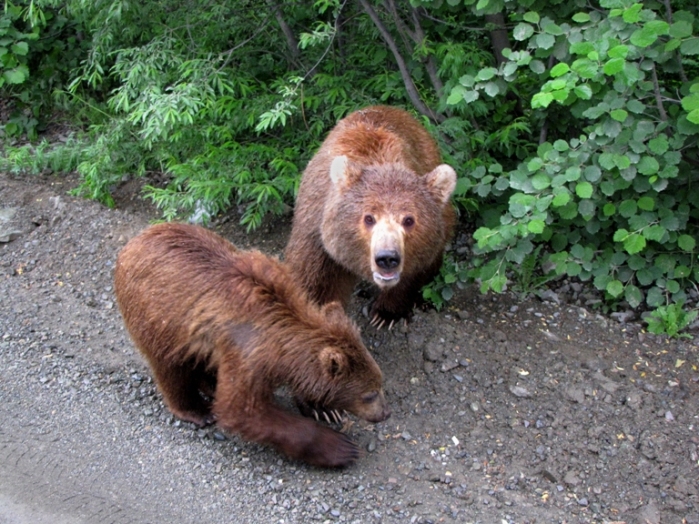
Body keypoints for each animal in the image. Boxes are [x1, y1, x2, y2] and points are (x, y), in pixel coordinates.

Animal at [112, 221, 392, 466]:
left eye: (380, 382)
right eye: (368, 394)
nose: (384, 413)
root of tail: (130, 245)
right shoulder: (247, 352)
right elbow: (243, 411)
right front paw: (340, 447)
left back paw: (209, 384)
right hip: (156, 314)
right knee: (170, 366)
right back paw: (196, 410)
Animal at [286, 104, 460, 326]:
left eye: (409, 220)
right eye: (368, 218)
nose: (387, 257)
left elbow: (413, 272)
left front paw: (386, 313)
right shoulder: (318, 235)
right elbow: (315, 284)